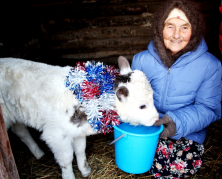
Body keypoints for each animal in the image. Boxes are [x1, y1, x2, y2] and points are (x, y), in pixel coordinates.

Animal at [0, 55, 158, 178]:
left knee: (20, 131)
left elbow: (80, 151)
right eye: (142, 106)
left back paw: (38, 153)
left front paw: (85, 170)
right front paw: (69, 176)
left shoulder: (78, 131)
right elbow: (66, 159)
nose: (157, 119)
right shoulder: (56, 135)